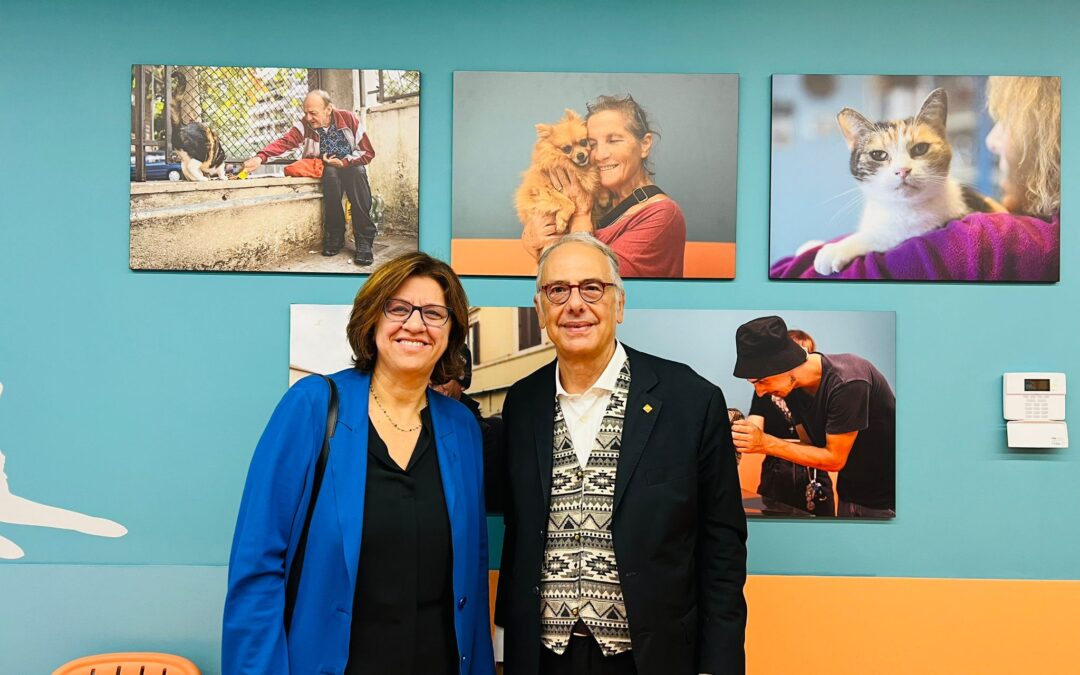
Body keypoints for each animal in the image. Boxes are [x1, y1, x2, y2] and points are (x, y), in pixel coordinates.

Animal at [816, 88, 1002, 275]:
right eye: (878, 155)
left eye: (920, 148)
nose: (903, 170)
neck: (898, 208)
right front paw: (814, 243)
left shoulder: (925, 227)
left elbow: (879, 236)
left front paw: (836, 248)